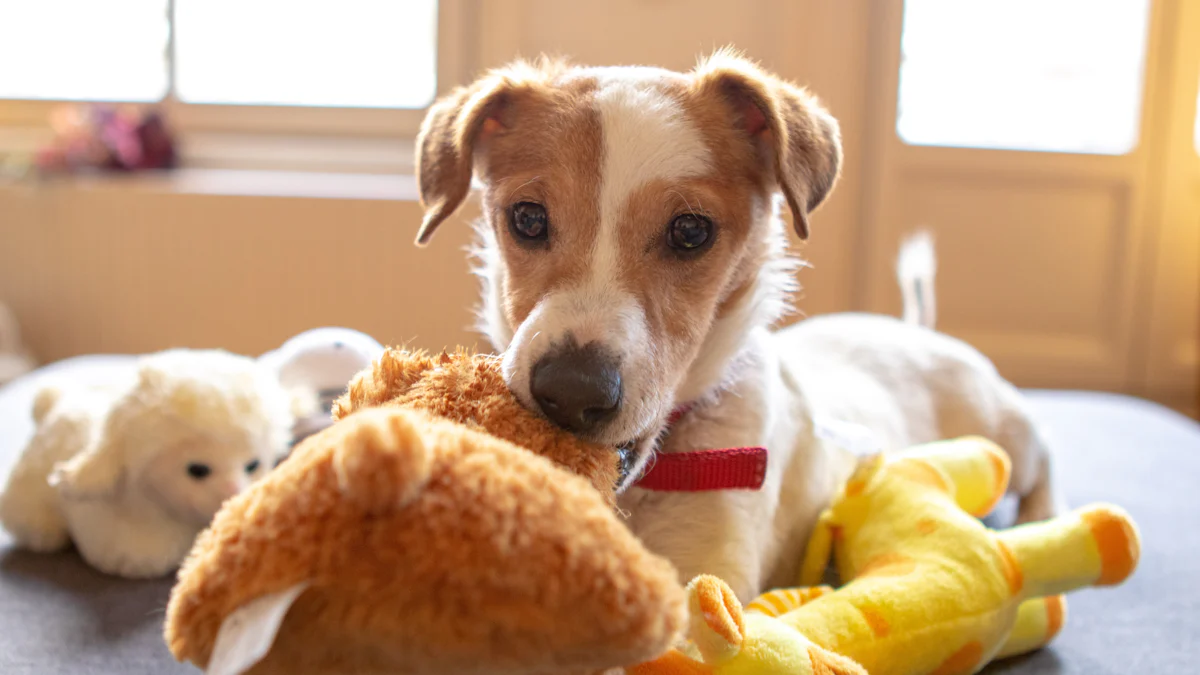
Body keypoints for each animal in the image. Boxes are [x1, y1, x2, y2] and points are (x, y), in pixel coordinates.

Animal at [410, 48, 1060, 598]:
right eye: (527, 218)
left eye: (691, 231)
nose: (570, 393)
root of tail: (915, 330)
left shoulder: (707, 578)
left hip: (1004, 434)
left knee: (1043, 463)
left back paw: (1041, 520)